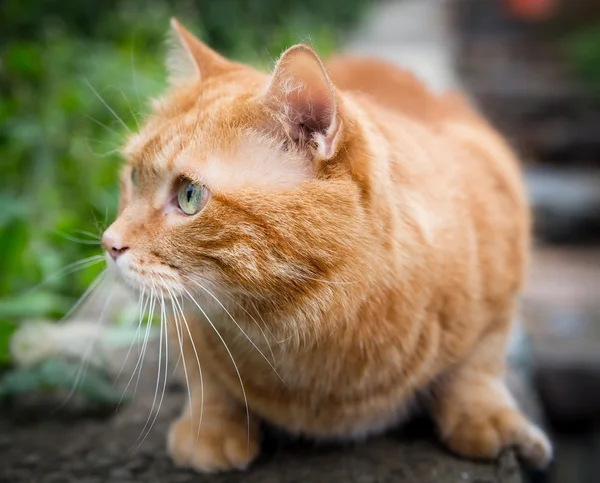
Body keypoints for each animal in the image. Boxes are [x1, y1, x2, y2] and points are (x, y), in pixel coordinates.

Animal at [102, 18, 552, 472]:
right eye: (134, 177)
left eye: (190, 195)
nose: (109, 243)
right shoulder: (185, 324)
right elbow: (205, 376)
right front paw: (209, 428)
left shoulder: (501, 260)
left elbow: (478, 366)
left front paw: (492, 420)